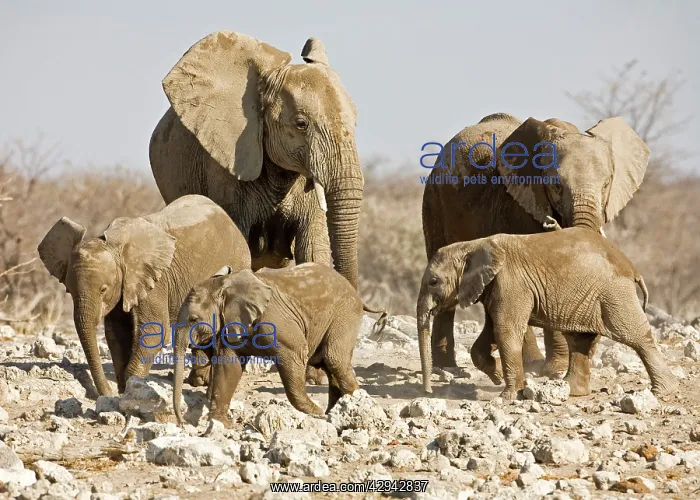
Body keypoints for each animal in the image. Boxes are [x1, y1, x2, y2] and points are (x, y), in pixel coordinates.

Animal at [37, 194, 251, 396]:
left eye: (103, 290)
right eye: (69, 291)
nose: (105, 392)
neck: (115, 248)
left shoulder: (154, 282)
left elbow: (153, 330)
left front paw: (131, 389)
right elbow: (116, 334)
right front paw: (121, 392)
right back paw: (199, 380)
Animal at [172, 263, 386, 426]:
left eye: (193, 319)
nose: (182, 423)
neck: (225, 285)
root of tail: (357, 295)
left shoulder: (273, 321)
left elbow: (295, 354)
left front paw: (315, 413)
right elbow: (229, 367)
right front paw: (221, 424)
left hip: (345, 314)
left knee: (334, 359)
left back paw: (354, 406)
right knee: (327, 362)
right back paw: (333, 412)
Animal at [416, 223, 678, 400]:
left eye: (433, 282)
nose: (427, 391)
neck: (473, 244)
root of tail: (631, 266)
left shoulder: (511, 283)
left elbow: (505, 331)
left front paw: (507, 397)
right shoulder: (496, 287)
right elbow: (488, 335)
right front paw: (499, 376)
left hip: (615, 293)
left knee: (637, 337)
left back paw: (663, 391)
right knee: (580, 340)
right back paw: (571, 391)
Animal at [421, 112, 650, 393]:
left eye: (607, 184)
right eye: (556, 186)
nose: (552, 223)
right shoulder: (520, 204)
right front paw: (555, 370)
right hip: (433, 201)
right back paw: (451, 369)